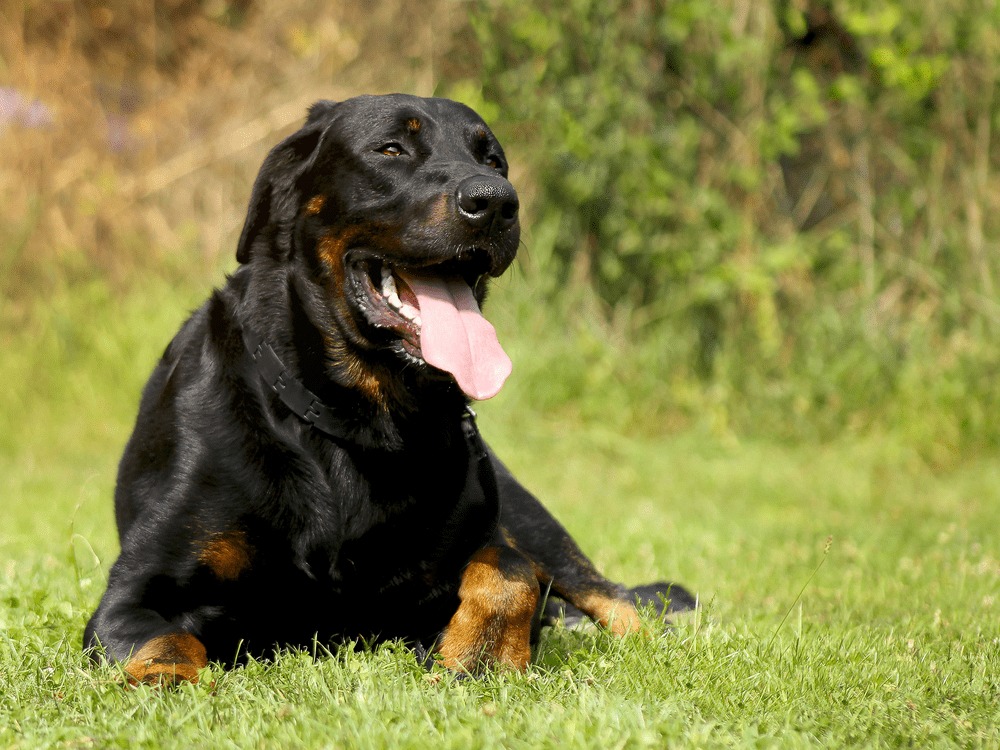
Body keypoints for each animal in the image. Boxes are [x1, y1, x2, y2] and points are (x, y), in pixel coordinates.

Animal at [84, 94, 696, 688]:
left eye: (493, 161)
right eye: (391, 149)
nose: (496, 200)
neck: (356, 419)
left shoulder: (471, 552)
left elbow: (510, 573)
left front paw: (483, 654)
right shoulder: (135, 592)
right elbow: (168, 641)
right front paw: (167, 682)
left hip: (526, 514)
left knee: (613, 598)